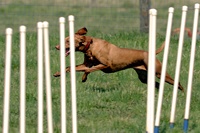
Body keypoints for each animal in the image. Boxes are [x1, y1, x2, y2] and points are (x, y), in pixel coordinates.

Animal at [53, 27, 184, 91]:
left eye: (67, 41)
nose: (56, 46)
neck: (90, 46)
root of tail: (149, 53)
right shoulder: (86, 64)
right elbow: (70, 67)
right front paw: (58, 73)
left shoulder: (106, 65)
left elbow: (88, 70)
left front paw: (84, 78)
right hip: (144, 77)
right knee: (157, 85)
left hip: (160, 73)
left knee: (177, 83)